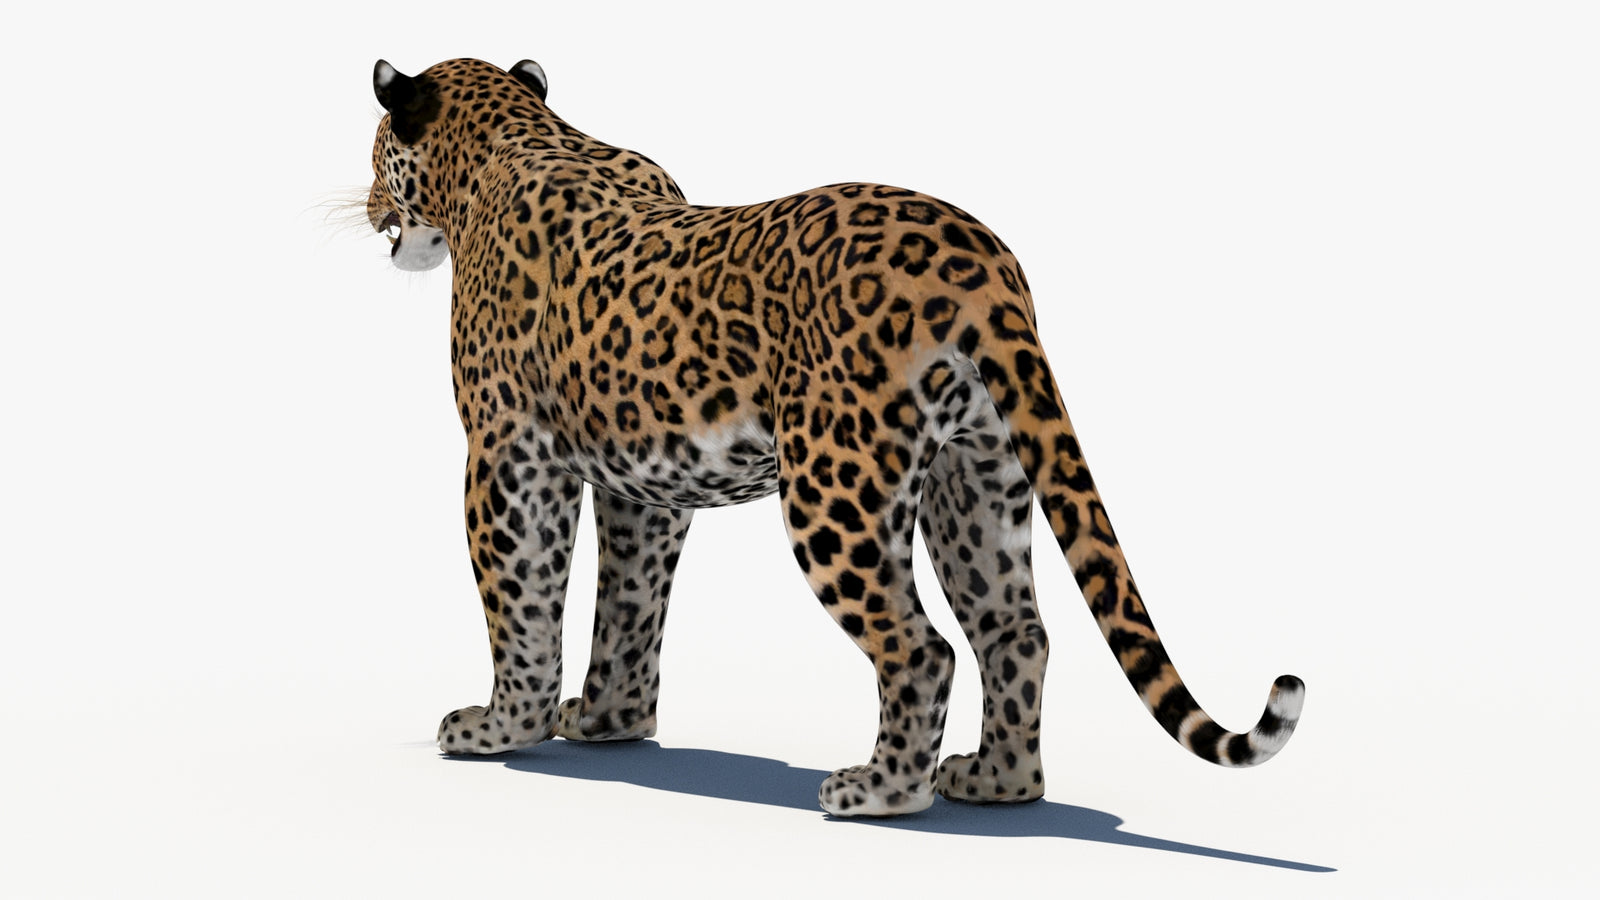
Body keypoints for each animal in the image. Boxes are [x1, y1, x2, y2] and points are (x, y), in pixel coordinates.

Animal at [364, 57, 1304, 818]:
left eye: (376, 154)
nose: (369, 204)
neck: (510, 139)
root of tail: (983, 262)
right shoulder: (645, 483)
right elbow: (629, 602)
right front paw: (606, 723)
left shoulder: (508, 456)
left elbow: (521, 597)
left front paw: (501, 726)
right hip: (978, 472)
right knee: (1015, 631)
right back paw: (996, 783)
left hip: (835, 487)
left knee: (922, 647)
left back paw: (881, 791)